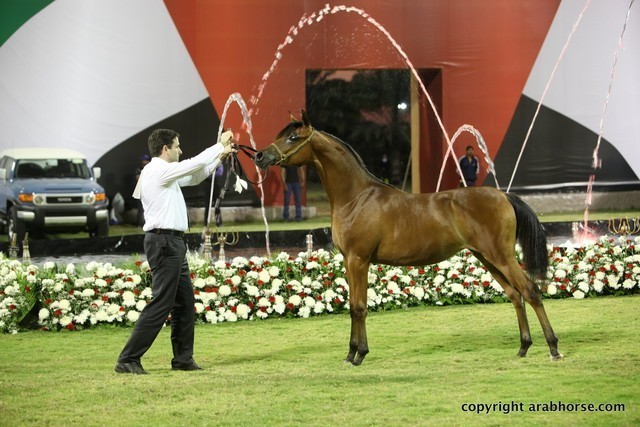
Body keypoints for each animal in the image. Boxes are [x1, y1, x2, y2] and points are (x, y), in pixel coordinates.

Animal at [254, 111, 563, 366]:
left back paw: (553, 348)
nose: (260, 156)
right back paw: (523, 347)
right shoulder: (349, 261)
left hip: (501, 256)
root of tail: (502, 195)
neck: (357, 197)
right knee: (515, 295)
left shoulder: (359, 260)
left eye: (293, 137)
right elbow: (354, 307)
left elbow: (359, 307)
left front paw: (359, 355)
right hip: (486, 257)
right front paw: (351, 353)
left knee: (530, 291)